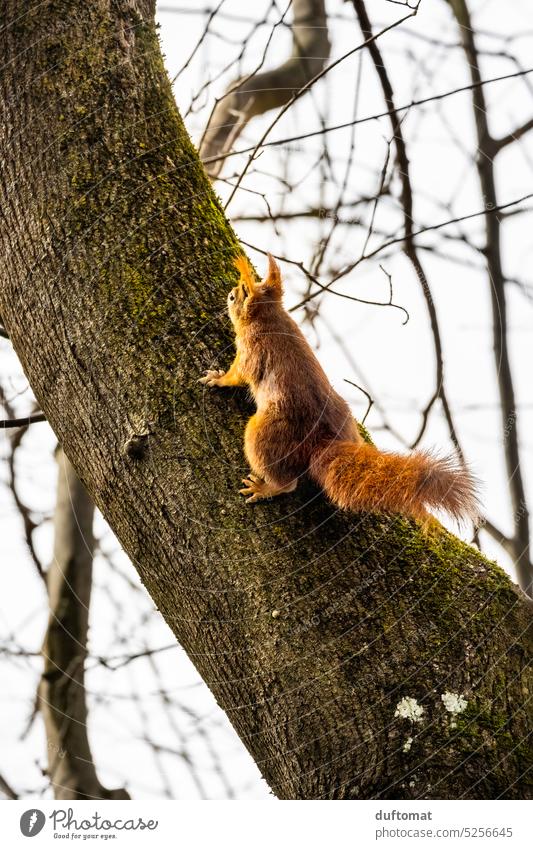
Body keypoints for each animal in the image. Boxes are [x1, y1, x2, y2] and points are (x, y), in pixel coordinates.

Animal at [198, 250, 478, 524]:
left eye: (241, 293)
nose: (229, 293)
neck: (270, 318)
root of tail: (322, 438)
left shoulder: (251, 353)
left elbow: (237, 375)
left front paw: (218, 378)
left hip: (264, 432)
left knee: (287, 482)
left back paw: (265, 487)